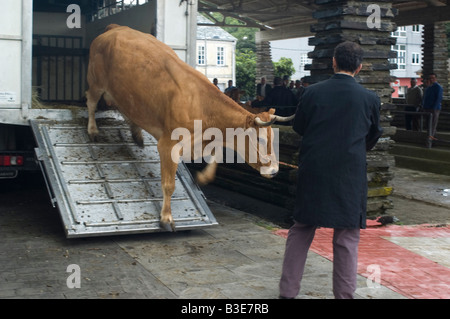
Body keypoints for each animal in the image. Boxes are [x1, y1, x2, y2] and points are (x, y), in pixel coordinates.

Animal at [86, 23, 294, 231]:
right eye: (259, 139)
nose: (274, 171)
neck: (203, 107)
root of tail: (116, 27)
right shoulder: (167, 145)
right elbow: (168, 184)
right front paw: (166, 218)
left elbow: (217, 156)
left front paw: (202, 178)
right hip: (96, 81)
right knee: (91, 101)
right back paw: (93, 130)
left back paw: (136, 134)